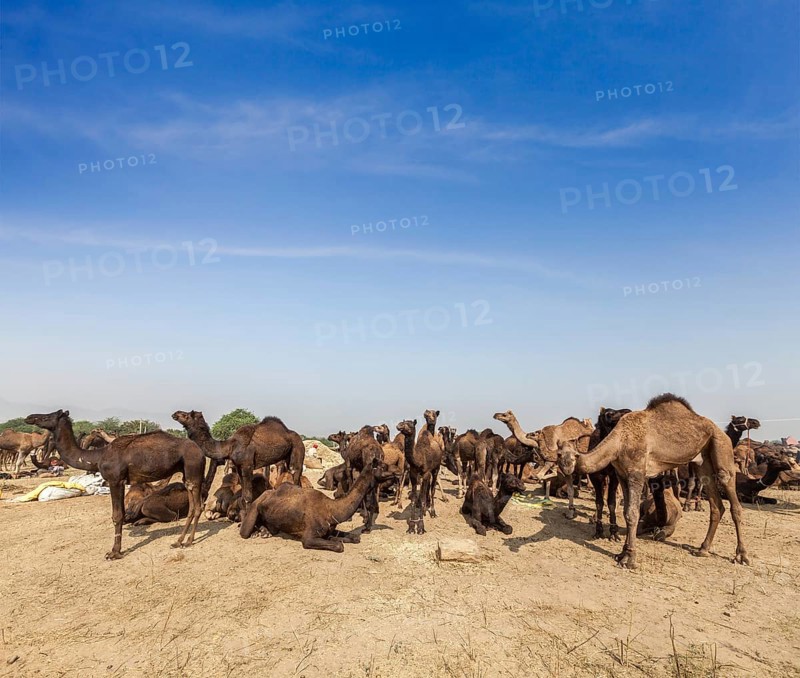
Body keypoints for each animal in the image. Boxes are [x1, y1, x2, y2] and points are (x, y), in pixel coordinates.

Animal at [25, 410, 205, 560]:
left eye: (48, 416)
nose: (29, 417)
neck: (97, 456)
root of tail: (200, 451)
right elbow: (122, 514)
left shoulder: (115, 480)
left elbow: (117, 516)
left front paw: (114, 552)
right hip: (187, 474)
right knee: (192, 506)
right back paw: (179, 541)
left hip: (193, 469)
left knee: (198, 506)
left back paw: (188, 541)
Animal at [172, 410, 305, 512]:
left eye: (187, 415)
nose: (175, 414)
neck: (230, 446)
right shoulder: (239, 467)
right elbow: (243, 495)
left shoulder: (247, 466)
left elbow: (248, 496)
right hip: (287, 456)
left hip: (298, 448)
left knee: (295, 473)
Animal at [239, 459, 393, 551]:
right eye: (383, 466)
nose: (396, 472)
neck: (332, 509)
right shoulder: (308, 538)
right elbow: (339, 546)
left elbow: (355, 537)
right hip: (254, 507)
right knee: (244, 531)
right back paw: (257, 532)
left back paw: (264, 531)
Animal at [555, 394, 749, 569]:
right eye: (559, 455)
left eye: (571, 457)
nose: (566, 469)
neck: (619, 441)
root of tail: (721, 432)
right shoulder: (622, 475)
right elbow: (626, 512)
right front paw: (622, 553)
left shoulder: (637, 473)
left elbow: (632, 514)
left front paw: (630, 559)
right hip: (702, 462)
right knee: (717, 505)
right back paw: (703, 549)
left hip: (722, 448)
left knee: (733, 500)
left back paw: (741, 556)